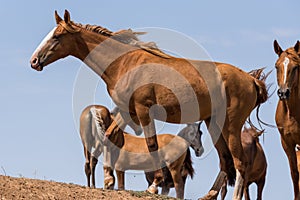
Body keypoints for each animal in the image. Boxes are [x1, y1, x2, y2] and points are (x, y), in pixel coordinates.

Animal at [29, 10, 268, 199]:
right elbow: (109, 137)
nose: (34, 61)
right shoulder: (127, 111)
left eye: (58, 36)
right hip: (214, 124)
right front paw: (109, 179)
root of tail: (251, 80)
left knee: (239, 163)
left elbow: (152, 145)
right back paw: (208, 195)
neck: (123, 62)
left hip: (231, 126)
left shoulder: (144, 111)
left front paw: (153, 185)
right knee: (225, 162)